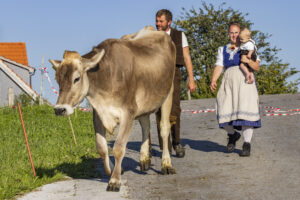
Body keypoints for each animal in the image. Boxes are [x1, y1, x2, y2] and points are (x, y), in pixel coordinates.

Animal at [48, 25, 176, 191]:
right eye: (57, 79)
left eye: (76, 78)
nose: (59, 109)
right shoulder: (98, 114)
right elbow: (101, 147)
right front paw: (114, 170)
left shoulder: (128, 112)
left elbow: (118, 147)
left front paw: (114, 180)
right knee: (145, 125)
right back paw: (144, 159)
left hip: (168, 93)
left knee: (164, 128)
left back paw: (166, 164)